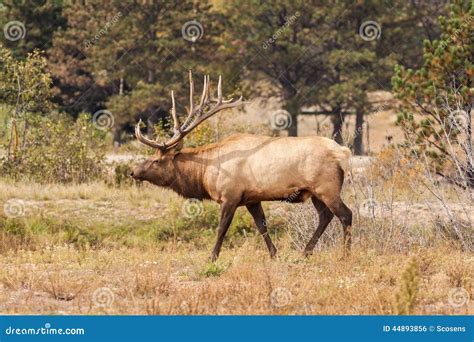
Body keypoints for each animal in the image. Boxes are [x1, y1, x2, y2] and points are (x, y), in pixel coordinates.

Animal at [131, 71, 352, 260]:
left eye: (156, 160)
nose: (133, 171)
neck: (205, 173)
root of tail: (343, 152)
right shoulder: (251, 199)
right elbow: (262, 226)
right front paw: (274, 254)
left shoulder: (230, 195)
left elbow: (221, 229)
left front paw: (212, 257)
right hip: (315, 192)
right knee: (325, 216)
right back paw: (306, 252)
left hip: (327, 187)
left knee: (345, 215)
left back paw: (344, 255)